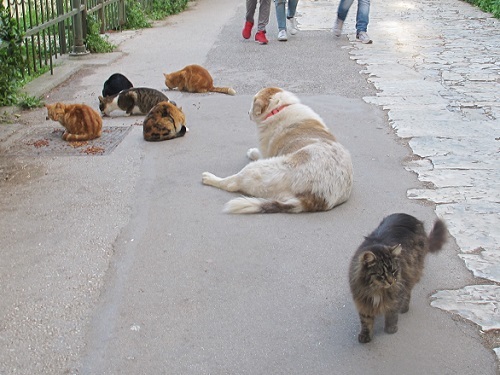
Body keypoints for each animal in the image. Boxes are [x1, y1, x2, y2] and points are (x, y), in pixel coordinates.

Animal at [348, 213, 450, 346]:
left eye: (394, 271)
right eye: (382, 274)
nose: (391, 281)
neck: (377, 290)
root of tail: (409, 216)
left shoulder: (396, 294)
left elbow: (392, 313)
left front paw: (390, 328)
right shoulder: (364, 300)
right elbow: (366, 321)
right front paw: (365, 335)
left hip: (412, 272)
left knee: (408, 293)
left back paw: (404, 308)